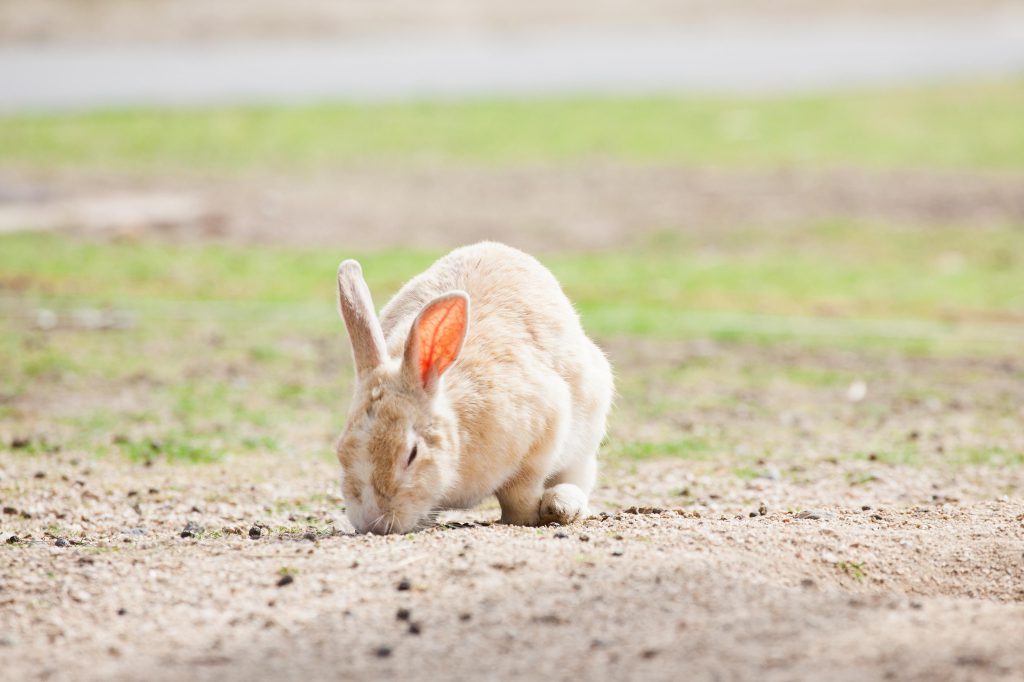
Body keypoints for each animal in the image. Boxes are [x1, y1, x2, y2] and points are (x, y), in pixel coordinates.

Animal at [335, 241, 610, 532]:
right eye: (341, 451)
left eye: (412, 454)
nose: (372, 522)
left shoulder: (542, 434)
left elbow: (519, 492)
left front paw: (524, 518)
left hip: (585, 442)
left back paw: (562, 505)